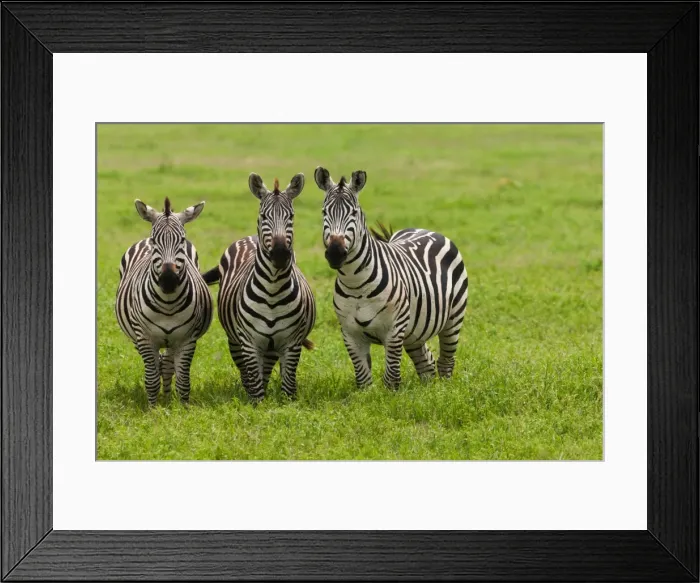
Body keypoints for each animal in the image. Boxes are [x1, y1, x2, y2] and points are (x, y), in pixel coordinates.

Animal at [115, 197, 213, 406]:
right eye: (155, 241)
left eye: (182, 240)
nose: (168, 280)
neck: (168, 304)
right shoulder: (144, 338)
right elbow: (151, 378)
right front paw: (153, 408)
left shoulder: (187, 339)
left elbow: (183, 378)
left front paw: (182, 407)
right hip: (135, 336)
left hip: (172, 341)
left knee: (167, 366)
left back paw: (168, 398)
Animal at [202, 173, 316, 402]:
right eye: (263, 216)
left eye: (291, 216)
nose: (280, 254)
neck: (272, 290)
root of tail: (250, 237)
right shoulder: (249, 342)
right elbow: (254, 385)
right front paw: (257, 404)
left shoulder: (291, 342)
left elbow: (288, 385)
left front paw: (285, 404)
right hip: (235, 340)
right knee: (247, 372)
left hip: (271, 346)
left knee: (267, 369)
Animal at [314, 166, 468, 389]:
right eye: (324, 212)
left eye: (354, 213)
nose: (335, 253)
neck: (356, 284)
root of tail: (424, 229)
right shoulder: (349, 333)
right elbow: (363, 379)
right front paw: (368, 396)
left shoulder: (395, 330)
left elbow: (391, 378)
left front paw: (392, 396)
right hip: (415, 332)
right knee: (426, 363)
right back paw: (429, 391)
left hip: (453, 319)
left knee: (445, 361)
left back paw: (444, 390)